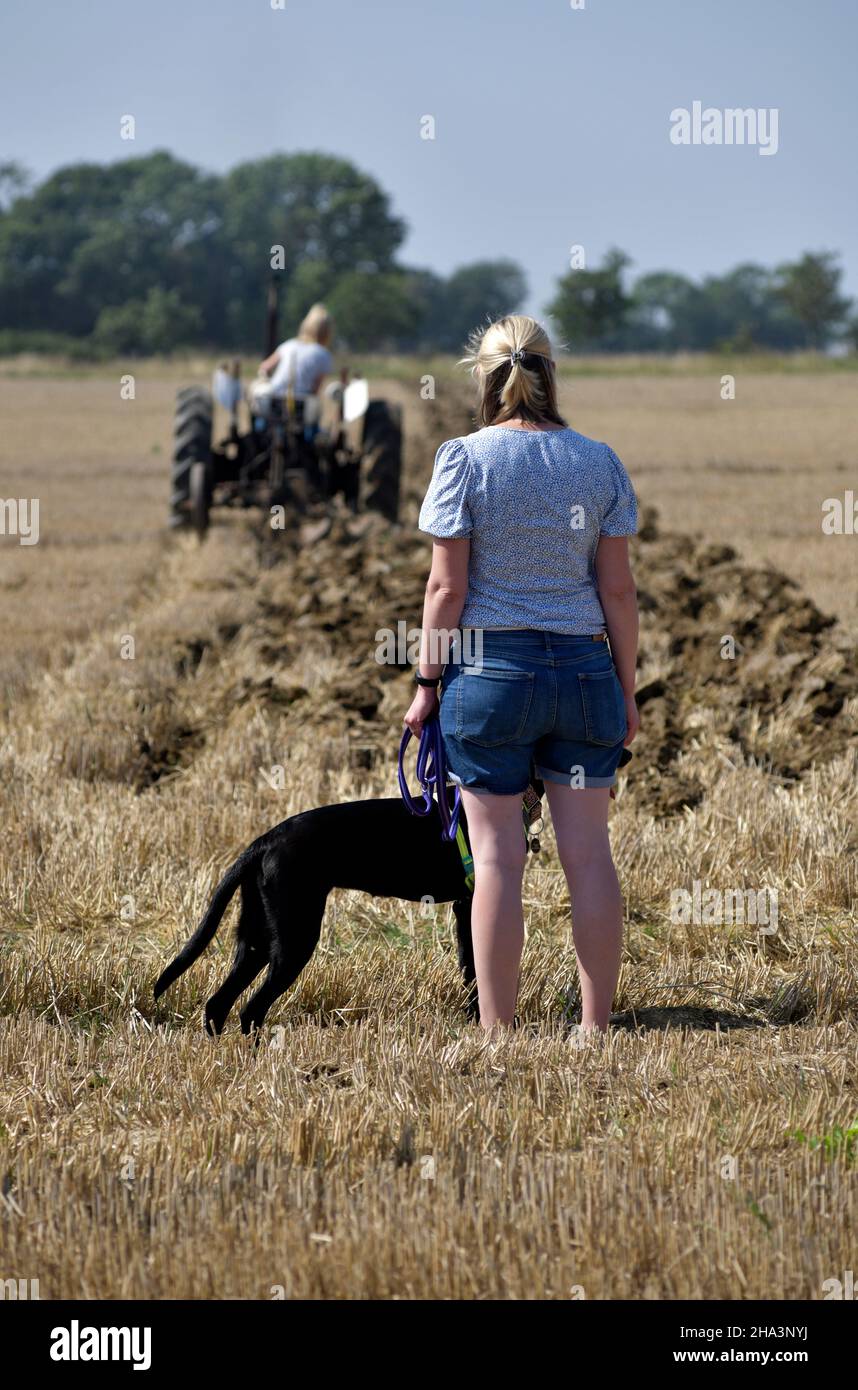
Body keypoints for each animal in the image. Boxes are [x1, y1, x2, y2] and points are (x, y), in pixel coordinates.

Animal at [153, 800, 475, 1039]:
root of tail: (264, 842)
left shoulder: (464, 909)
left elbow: (470, 971)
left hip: (257, 942)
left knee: (218, 1005)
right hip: (295, 941)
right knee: (251, 1010)